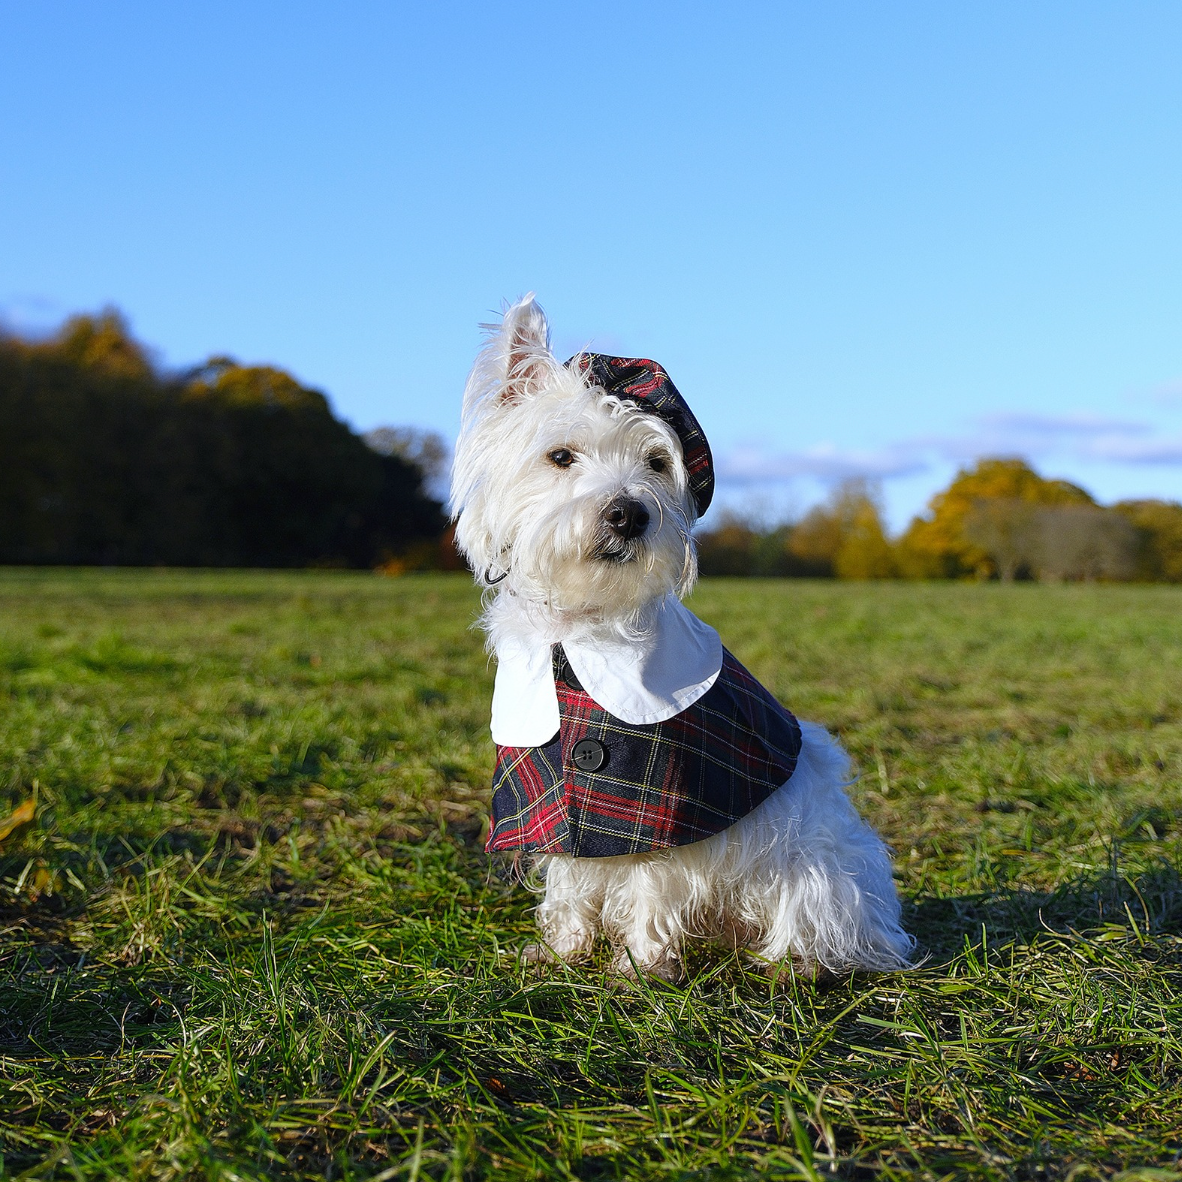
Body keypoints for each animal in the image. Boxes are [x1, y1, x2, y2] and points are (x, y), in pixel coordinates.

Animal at [446, 295, 907, 978]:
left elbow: (646, 887)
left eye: (657, 462)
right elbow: (570, 877)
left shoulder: (667, 807)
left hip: (820, 872)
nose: (628, 514)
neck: (579, 634)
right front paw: (563, 950)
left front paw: (639, 969)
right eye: (561, 456)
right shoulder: (556, 801)